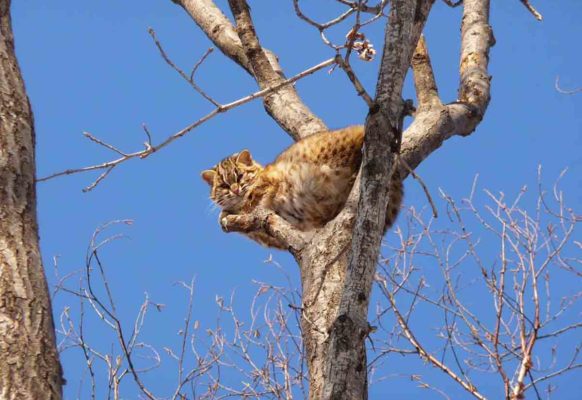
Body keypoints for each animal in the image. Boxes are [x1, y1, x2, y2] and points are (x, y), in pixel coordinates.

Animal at [203, 126, 404, 248]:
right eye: (224, 185)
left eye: (240, 176)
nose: (235, 189)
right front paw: (225, 215)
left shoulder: (270, 181)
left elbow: (252, 198)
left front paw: (234, 209)